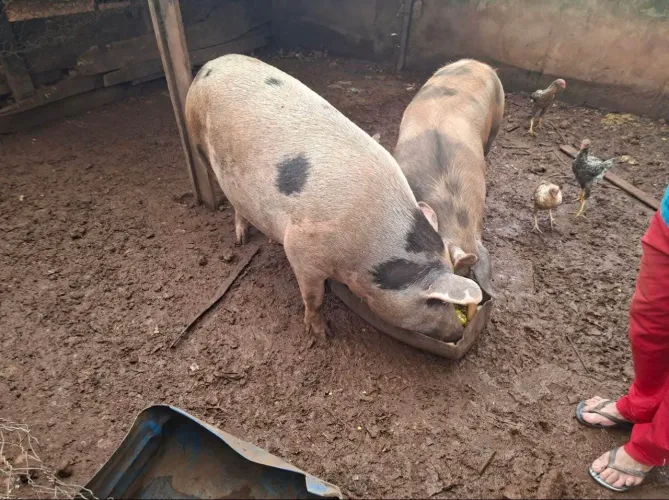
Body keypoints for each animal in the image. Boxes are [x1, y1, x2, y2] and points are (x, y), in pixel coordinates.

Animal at [185, 54, 482, 342]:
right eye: (434, 302)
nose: (457, 333)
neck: (367, 245)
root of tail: (211, 65)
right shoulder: (301, 250)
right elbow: (313, 298)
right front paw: (321, 336)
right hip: (196, 136)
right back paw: (241, 240)